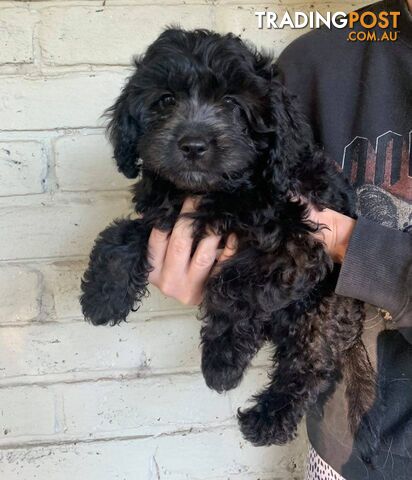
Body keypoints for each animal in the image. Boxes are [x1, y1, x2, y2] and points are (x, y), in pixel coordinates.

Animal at [80, 28, 376, 456]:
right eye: (165, 100)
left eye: (233, 104)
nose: (193, 144)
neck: (218, 191)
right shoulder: (164, 218)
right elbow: (120, 236)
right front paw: (103, 297)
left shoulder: (300, 248)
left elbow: (230, 287)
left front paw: (222, 362)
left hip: (325, 310)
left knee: (308, 366)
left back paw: (266, 420)